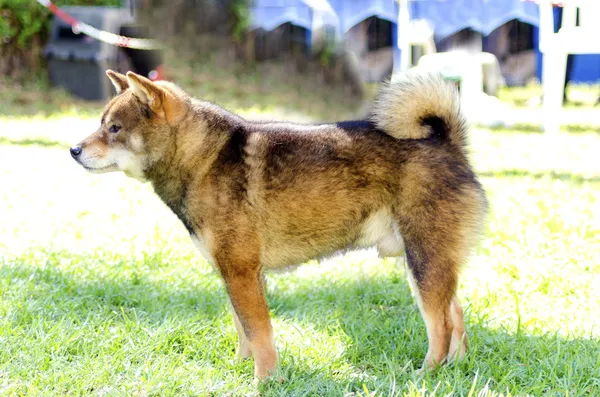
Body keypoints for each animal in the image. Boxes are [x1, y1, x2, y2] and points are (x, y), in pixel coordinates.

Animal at [71, 69, 488, 378]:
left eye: (114, 128)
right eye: (102, 124)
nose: (74, 149)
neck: (202, 159)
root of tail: (446, 141)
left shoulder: (242, 272)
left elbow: (261, 335)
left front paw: (265, 380)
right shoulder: (235, 275)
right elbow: (244, 331)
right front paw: (240, 369)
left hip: (423, 263)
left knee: (441, 325)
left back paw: (428, 373)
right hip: (425, 264)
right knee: (456, 315)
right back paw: (456, 368)